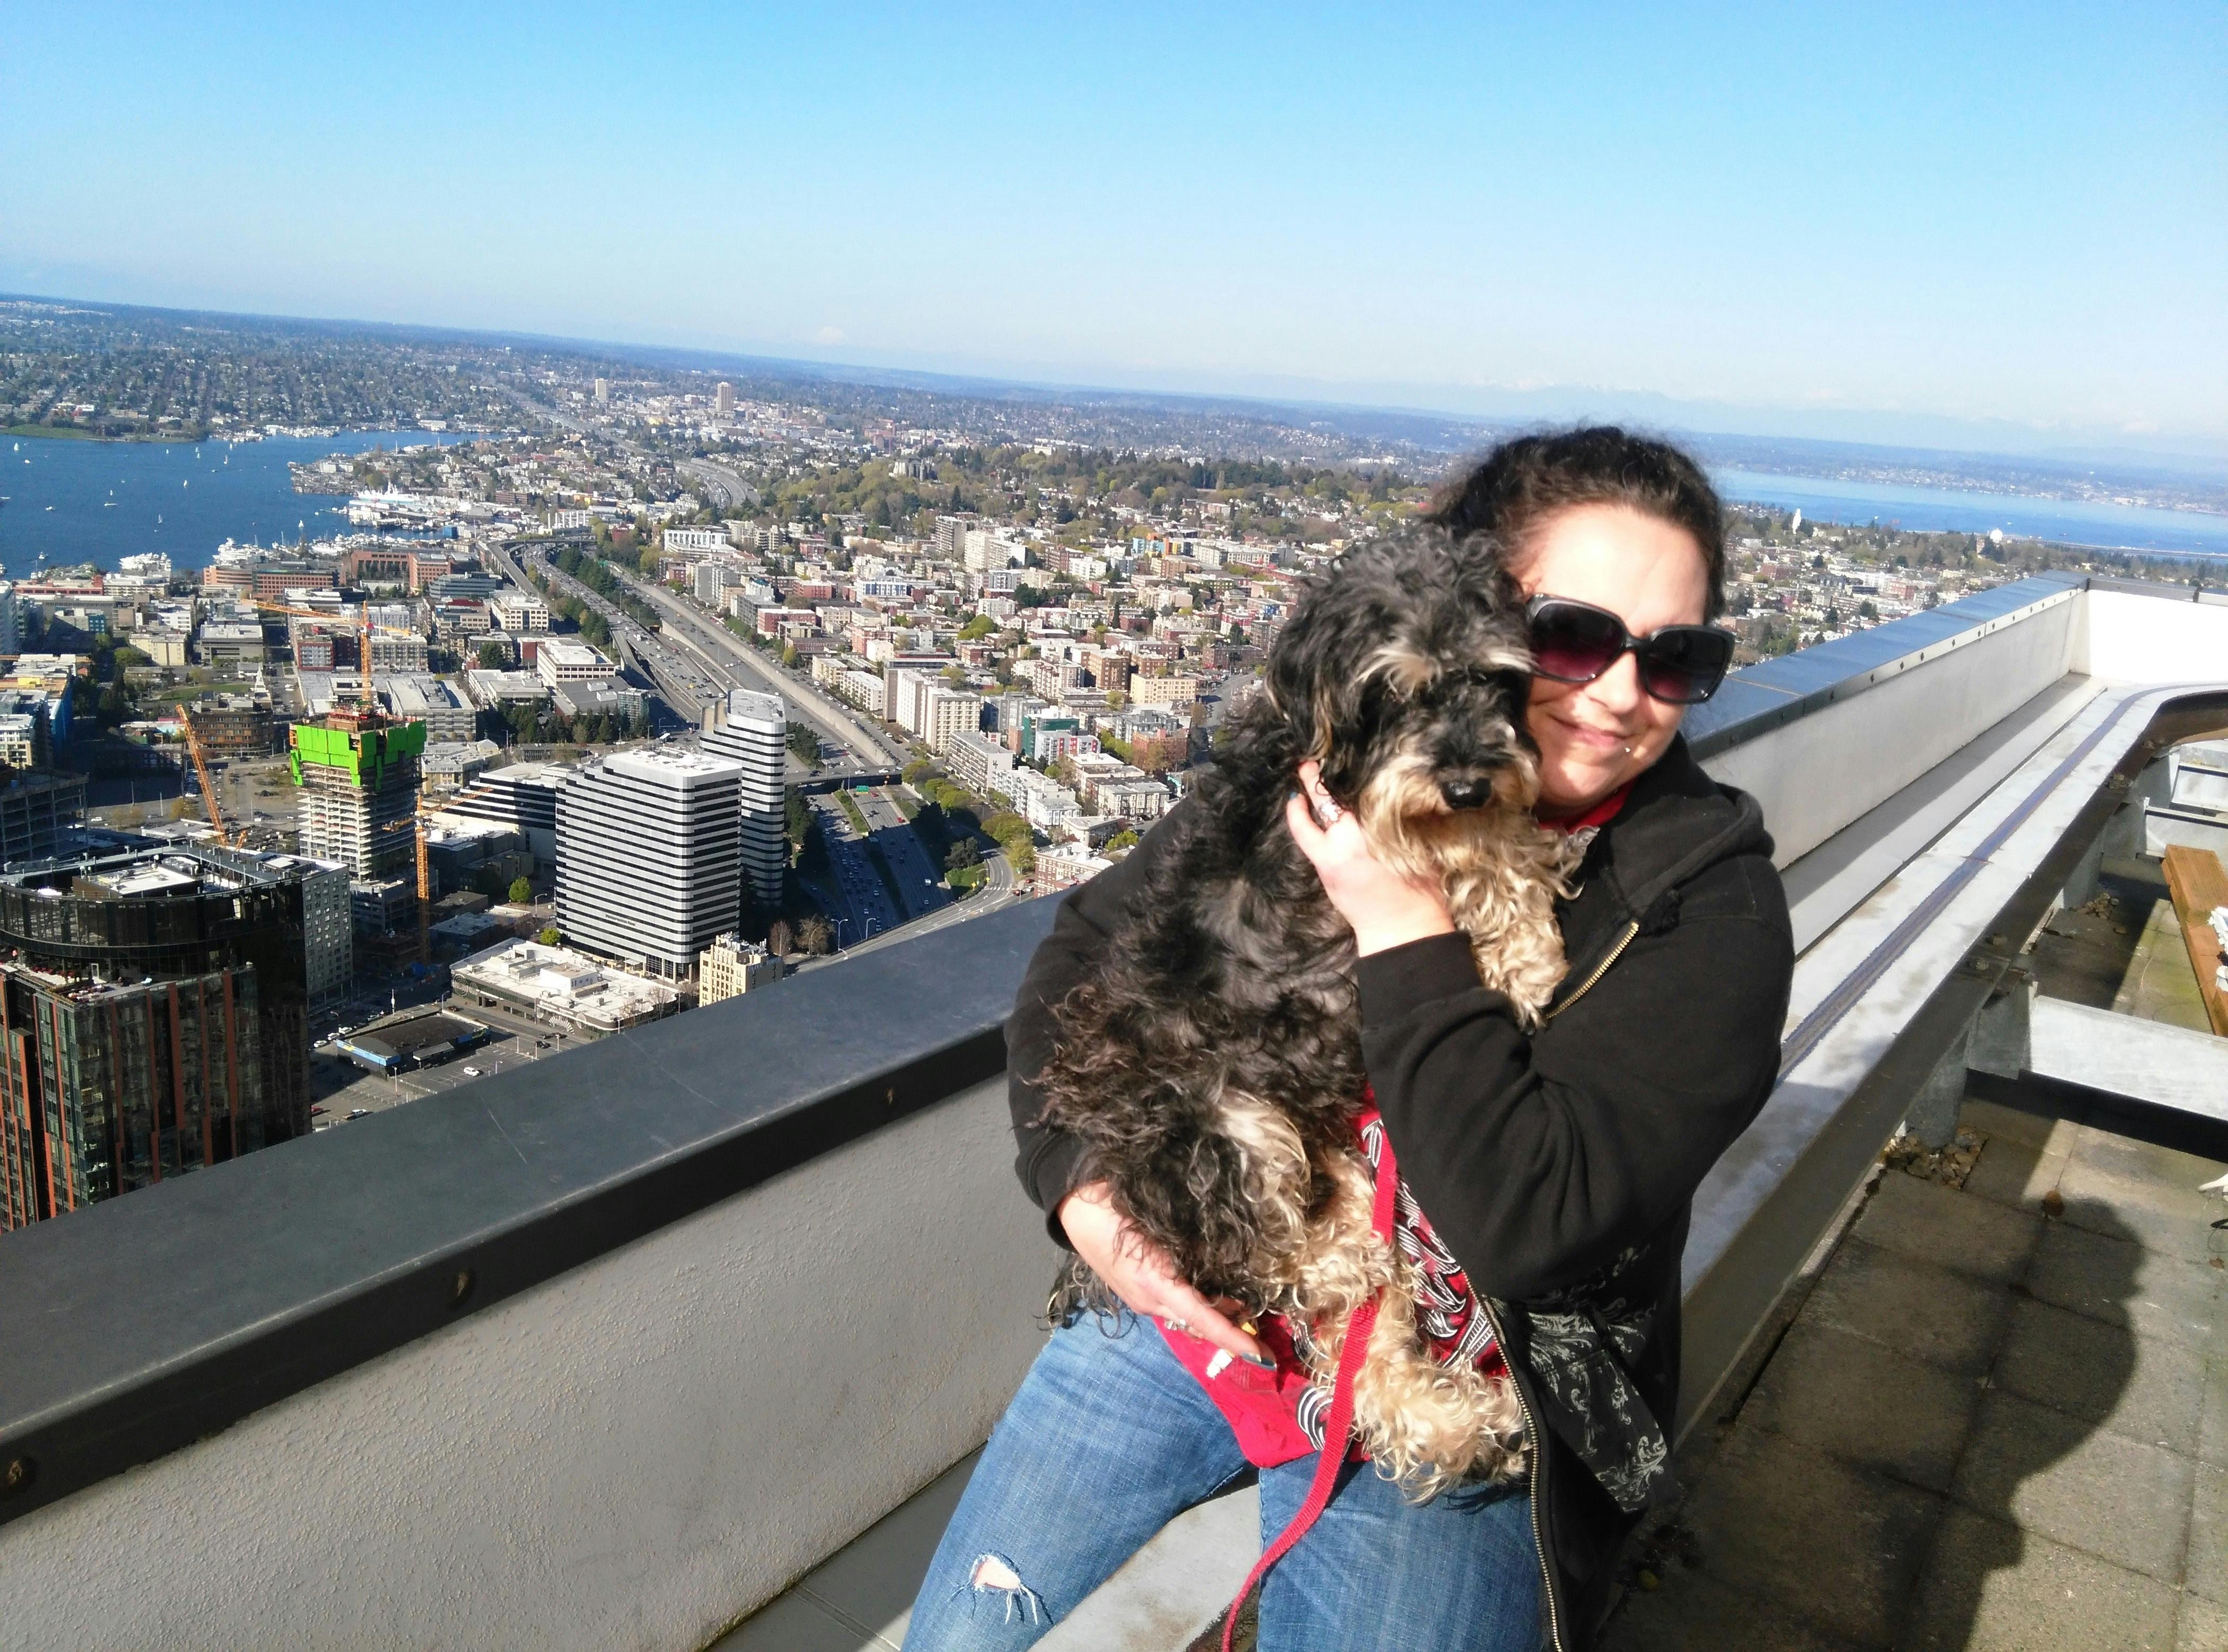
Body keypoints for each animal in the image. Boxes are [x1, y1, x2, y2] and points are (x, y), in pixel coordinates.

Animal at [1034, 522, 1577, 1489]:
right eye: (1393, 691)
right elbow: (1484, 849)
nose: (1468, 780)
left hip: (1347, 1173)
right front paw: (1524, 949)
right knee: (1269, 1258)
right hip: (1224, 1124)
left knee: (1366, 1365)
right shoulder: (1361, 836)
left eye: (1495, 677)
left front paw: (1521, 926)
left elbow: (1497, 836)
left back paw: (1468, 1424)